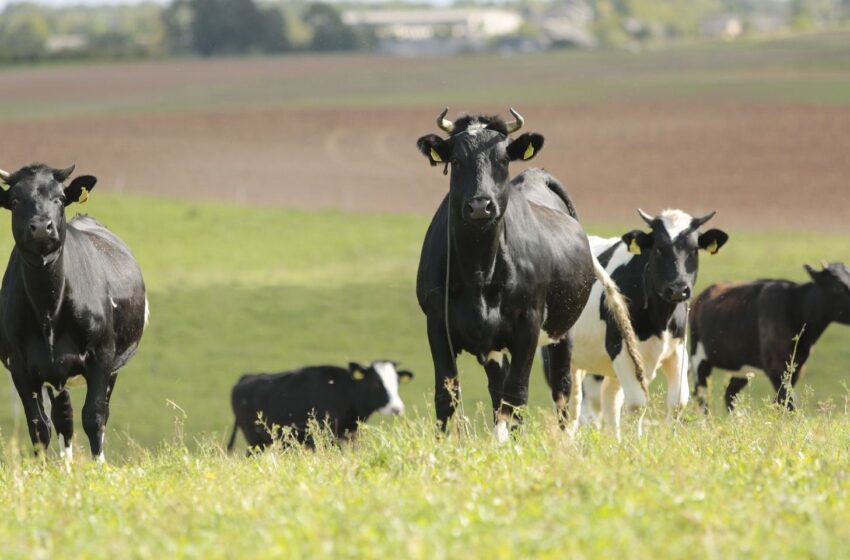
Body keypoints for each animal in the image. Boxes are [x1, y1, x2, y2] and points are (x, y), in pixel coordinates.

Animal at [0, 163, 147, 464]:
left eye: (59, 198)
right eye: (16, 200)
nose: (41, 227)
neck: (49, 307)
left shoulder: (101, 357)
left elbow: (94, 416)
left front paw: (99, 467)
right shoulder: (19, 365)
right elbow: (39, 426)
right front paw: (43, 471)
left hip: (112, 366)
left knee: (99, 413)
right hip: (55, 374)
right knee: (62, 419)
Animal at [225, 360, 410, 452]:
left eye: (396, 383)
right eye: (376, 384)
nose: (397, 408)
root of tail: (245, 377)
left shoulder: (349, 436)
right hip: (255, 441)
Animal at [414, 108, 640, 442]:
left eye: (503, 159)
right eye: (455, 160)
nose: (480, 205)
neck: (479, 270)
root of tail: (536, 175)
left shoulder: (529, 323)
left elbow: (517, 393)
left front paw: (513, 445)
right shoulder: (436, 322)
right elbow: (448, 394)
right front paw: (442, 446)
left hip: (563, 331)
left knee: (561, 389)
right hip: (496, 344)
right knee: (498, 389)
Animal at [688, 262, 848, 412]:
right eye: (837, 287)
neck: (797, 307)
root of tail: (699, 298)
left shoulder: (796, 368)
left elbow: (781, 401)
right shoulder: (775, 367)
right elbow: (790, 402)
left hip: (743, 366)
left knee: (730, 393)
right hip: (699, 358)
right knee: (700, 395)